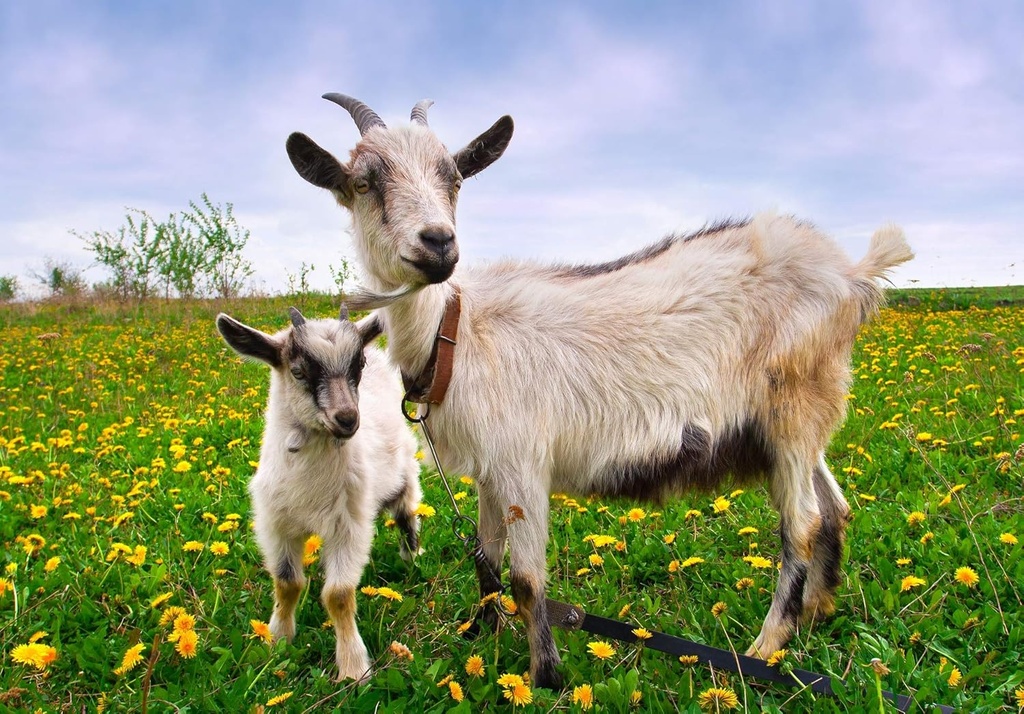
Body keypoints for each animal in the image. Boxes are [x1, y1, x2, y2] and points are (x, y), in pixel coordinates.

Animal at [216, 306, 422, 683]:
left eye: (358, 367)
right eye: (298, 371)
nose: (347, 419)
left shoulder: (348, 525)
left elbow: (338, 595)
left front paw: (353, 668)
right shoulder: (276, 524)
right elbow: (288, 583)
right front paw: (278, 639)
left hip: (402, 469)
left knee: (405, 509)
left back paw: (411, 554)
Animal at [284, 94, 914, 689]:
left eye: (454, 177)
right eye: (364, 182)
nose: (437, 244)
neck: (457, 331)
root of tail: (853, 275)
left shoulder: (523, 463)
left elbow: (526, 579)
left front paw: (546, 677)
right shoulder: (489, 471)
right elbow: (486, 560)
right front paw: (480, 635)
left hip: (792, 409)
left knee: (802, 523)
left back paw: (765, 646)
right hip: (799, 423)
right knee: (833, 507)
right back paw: (816, 614)